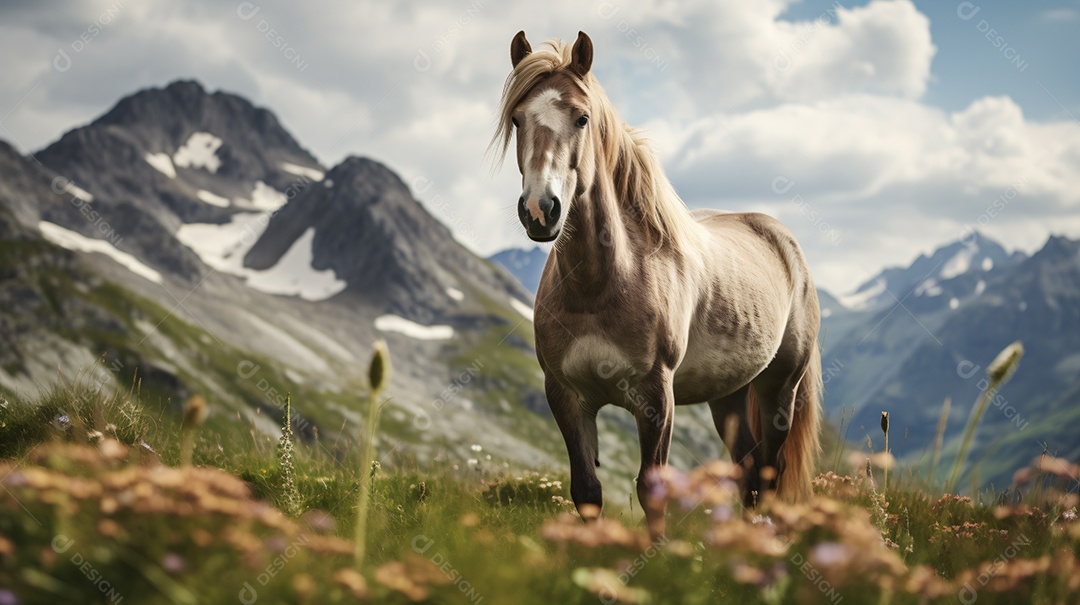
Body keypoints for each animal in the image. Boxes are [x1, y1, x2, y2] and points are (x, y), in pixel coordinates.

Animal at [491, 31, 822, 537]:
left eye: (582, 118)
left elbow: (652, 487)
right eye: (517, 118)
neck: (599, 285)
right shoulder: (567, 396)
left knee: (769, 471)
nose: (539, 210)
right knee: (747, 471)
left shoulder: (655, 398)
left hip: (779, 386)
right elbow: (586, 491)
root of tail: (786, 243)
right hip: (728, 395)